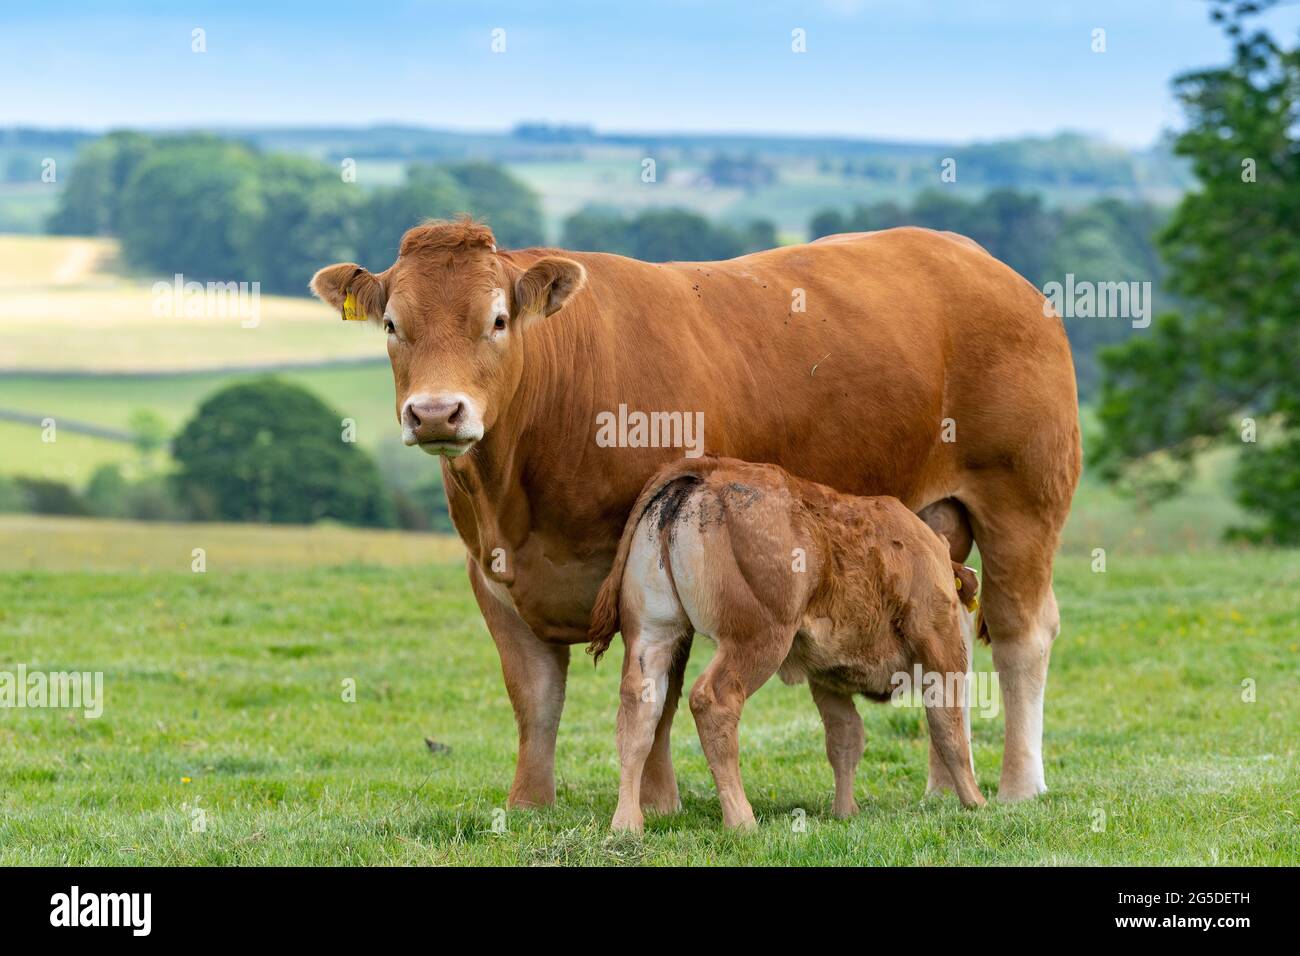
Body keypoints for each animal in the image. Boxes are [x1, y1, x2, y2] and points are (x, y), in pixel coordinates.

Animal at [586, 456, 986, 832]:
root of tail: (711, 469)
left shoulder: (828, 677)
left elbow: (845, 739)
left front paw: (844, 812)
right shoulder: (942, 650)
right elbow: (950, 731)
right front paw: (977, 803)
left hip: (653, 634)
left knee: (639, 710)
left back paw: (627, 823)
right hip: (758, 640)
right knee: (713, 701)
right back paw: (742, 820)